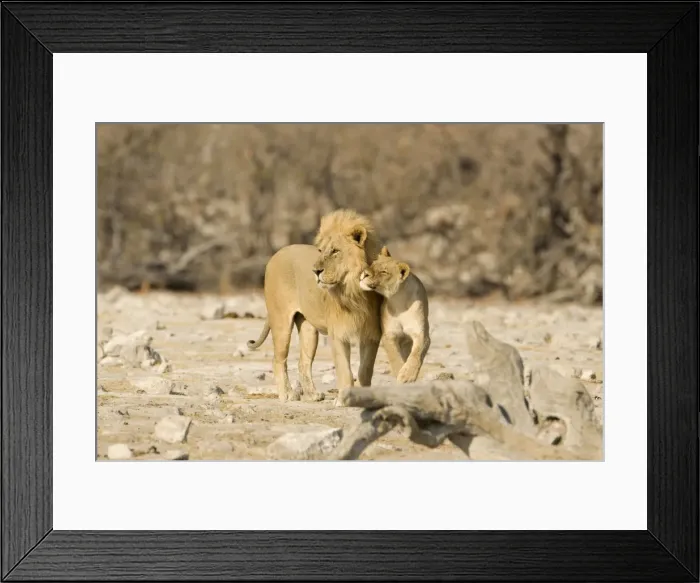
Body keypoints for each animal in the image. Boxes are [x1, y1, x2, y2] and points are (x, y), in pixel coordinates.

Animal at [247, 209, 384, 403]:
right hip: (281, 321)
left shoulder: (372, 334)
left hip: (308, 329)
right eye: (320, 250)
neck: (353, 292)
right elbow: (344, 370)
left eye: (335, 251)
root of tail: (276, 253)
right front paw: (342, 399)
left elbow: (365, 371)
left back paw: (312, 395)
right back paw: (287, 394)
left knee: (303, 362)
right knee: (278, 359)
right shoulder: (338, 333)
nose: (315, 271)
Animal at [359, 246, 431, 384]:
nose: (365, 273)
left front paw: (407, 375)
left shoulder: (421, 335)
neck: (399, 300)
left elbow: (416, 355)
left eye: (384, 272)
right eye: (373, 264)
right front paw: (399, 372)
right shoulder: (389, 334)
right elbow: (394, 356)